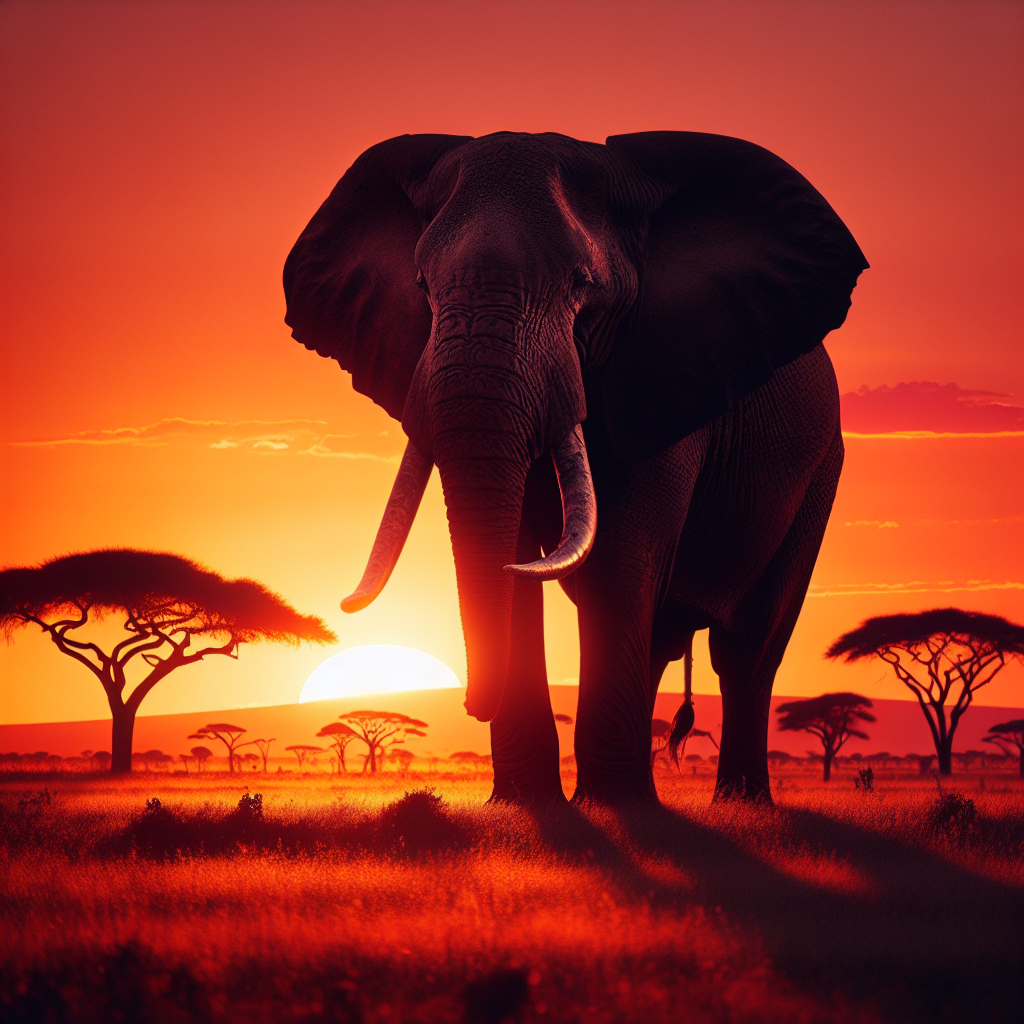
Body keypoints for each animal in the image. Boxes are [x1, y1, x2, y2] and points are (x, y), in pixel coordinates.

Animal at [283, 131, 867, 804]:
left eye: (582, 285)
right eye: (423, 286)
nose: (468, 704)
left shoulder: (664, 384)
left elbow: (617, 561)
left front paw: (609, 808)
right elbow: (517, 553)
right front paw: (528, 805)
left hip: (822, 468)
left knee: (746, 646)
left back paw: (737, 803)